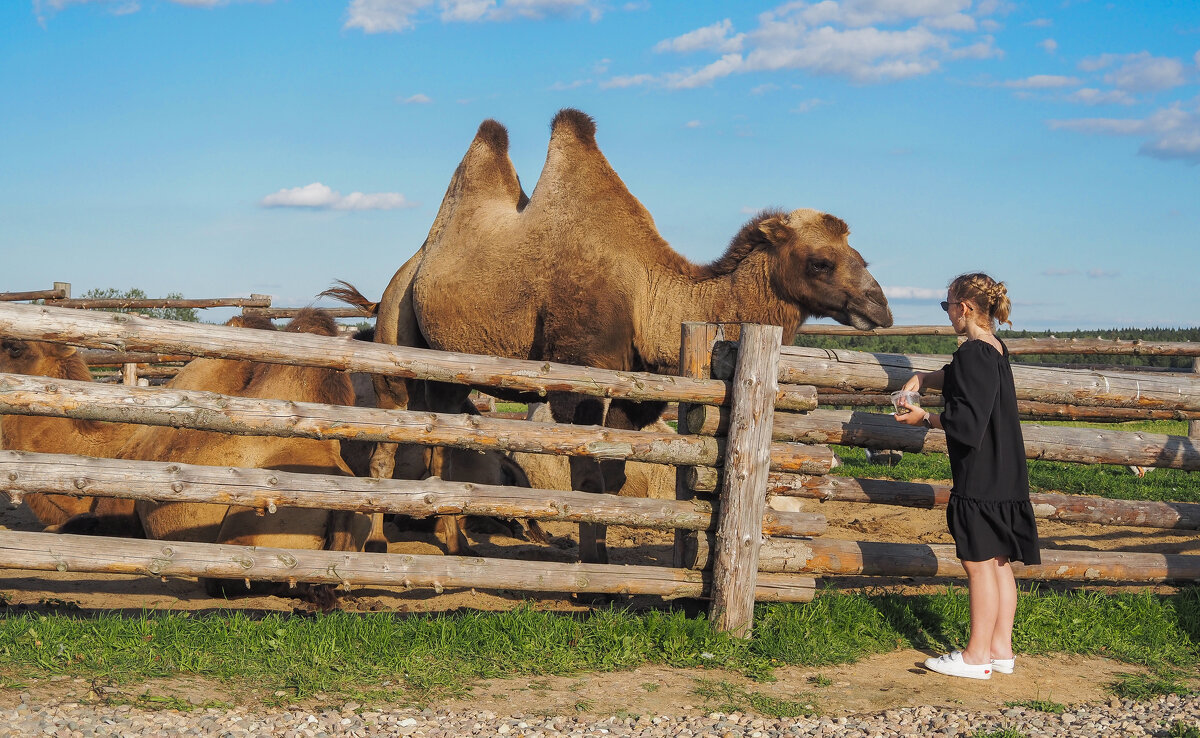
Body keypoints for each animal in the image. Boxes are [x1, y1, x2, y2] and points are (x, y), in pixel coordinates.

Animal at [338, 106, 892, 564]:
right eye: (820, 261)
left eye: (860, 254)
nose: (880, 307)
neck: (648, 296)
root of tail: (397, 281)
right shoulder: (579, 377)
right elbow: (587, 477)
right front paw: (593, 568)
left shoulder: (637, 392)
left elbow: (617, 475)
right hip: (398, 338)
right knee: (386, 442)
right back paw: (377, 544)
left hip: (449, 374)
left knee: (442, 439)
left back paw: (456, 546)